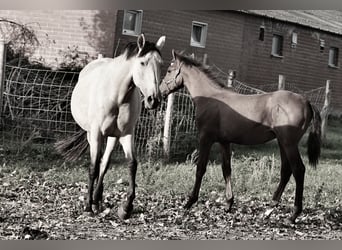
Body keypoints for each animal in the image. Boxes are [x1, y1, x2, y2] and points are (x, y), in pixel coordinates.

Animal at [56, 34, 166, 220]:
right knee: (98, 163)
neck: (117, 96)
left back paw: (98, 200)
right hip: (92, 135)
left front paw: (126, 208)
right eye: (142, 62)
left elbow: (131, 164)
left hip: (112, 137)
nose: (154, 100)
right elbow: (93, 167)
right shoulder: (96, 134)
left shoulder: (126, 134)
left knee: (105, 163)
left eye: (160, 64)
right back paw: (93, 202)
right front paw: (88, 207)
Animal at [159, 50, 322, 223]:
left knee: (298, 170)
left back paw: (293, 214)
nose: (160, 92)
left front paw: (189, 202)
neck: (211, 97)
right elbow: (226, 169)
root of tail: (306, 102)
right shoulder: (224, 141)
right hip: (282, 142)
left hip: (288, 143)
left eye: (169, 70)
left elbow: (200, 168)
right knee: (286, 171)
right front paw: (228, 203)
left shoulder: (206, 138)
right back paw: (269, 209)